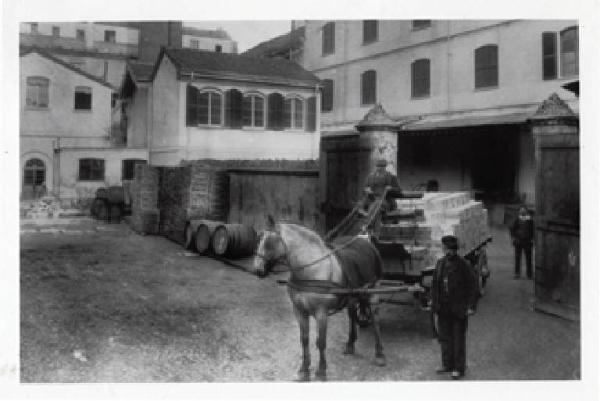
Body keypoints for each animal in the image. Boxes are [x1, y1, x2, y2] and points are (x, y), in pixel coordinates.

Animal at [252, 217, 384, 380]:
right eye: (259, 238)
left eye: (269, 242)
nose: (257, 270)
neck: (312, 271)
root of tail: (366, 241)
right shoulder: (300, 311)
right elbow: (304, 339)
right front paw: (304, 369)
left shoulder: (321, 313)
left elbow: (321, 342)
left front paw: (321, 371)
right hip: (352, 298)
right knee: (353, 316)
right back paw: (350, 344)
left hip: (373, 293)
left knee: (375, 320)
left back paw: (379, 354)